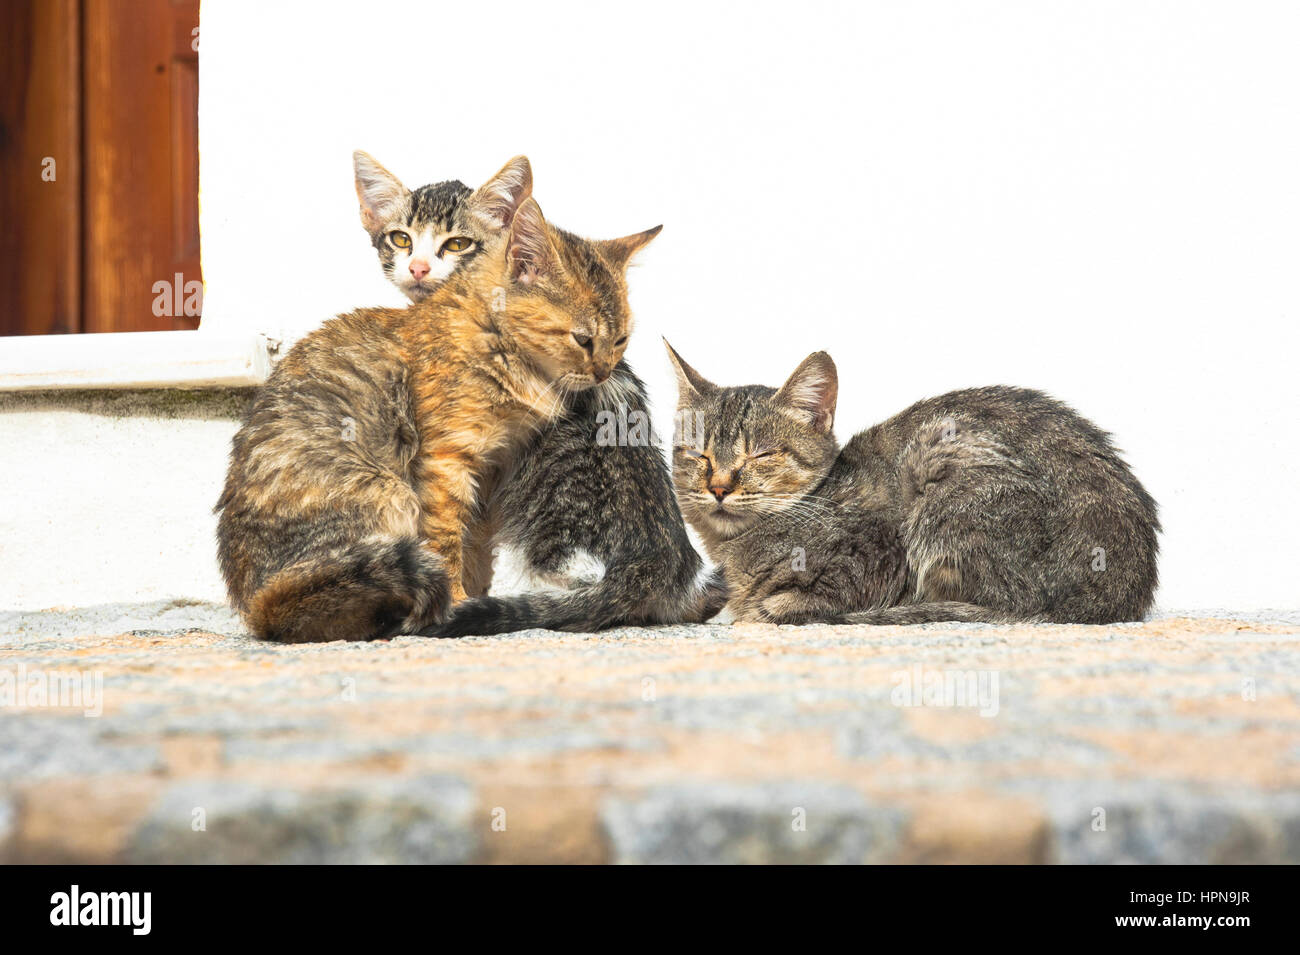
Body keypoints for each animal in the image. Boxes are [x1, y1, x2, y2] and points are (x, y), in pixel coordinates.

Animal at [220, 157, 660, 641]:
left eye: (620, 340)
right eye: (583, 339)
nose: (603, 371)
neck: (496, 341)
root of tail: (252, 601)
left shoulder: (492, 471)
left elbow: (477, 548)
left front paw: (477, 596)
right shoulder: (444, 461)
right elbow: (446, 539)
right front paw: (459, 601)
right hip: (387, 493)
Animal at [351, 153, 728, 639]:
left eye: (458, 245)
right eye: (401, 239)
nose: (418, 269)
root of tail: (658, 567)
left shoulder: (453, 460)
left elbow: (450, 538)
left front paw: (455, 597)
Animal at [665, 343, 1164, 628]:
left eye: (762, 454)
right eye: (698, 454)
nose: (719, 486)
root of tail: (1125, 587)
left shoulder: (878, 549)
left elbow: (797, 598)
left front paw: (765, 608)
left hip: (943, 466)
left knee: (1012, 607)